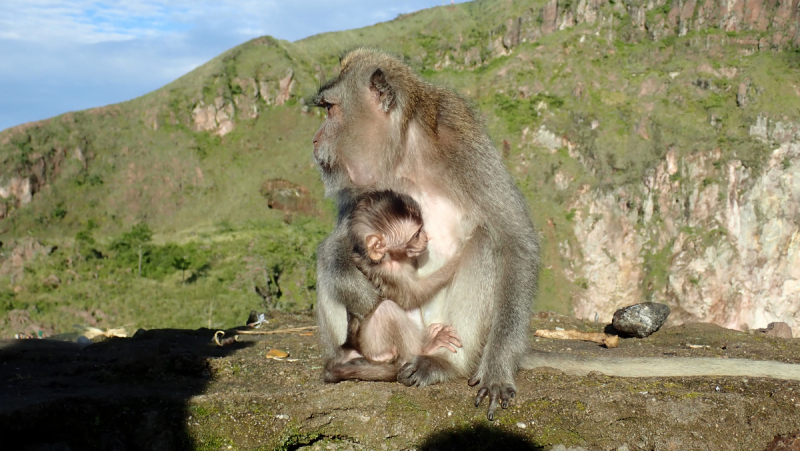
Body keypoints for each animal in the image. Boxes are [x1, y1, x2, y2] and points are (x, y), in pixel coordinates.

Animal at [324, 189, 462, 384]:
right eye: (416, 234)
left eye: (421, 229)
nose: (426, 238)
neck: (391, 257)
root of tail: (352, 348)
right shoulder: (391, 271)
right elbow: (411, 296)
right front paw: (458, 258)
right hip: (372, 345)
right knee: (387, 308)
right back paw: (424, 349)